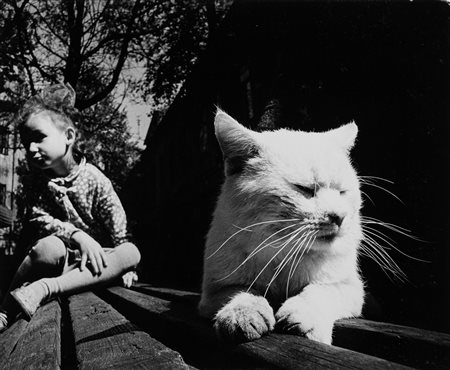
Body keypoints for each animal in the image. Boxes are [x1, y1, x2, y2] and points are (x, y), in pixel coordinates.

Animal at [200, 109, 366, 344]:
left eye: (342, 192)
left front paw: (302, 320)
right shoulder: (216, 290)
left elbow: (320, 292)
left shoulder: (347, 286)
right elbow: (243, 292)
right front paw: (243, 316)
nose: (338, 217)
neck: (285, 253)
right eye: (305, 189)